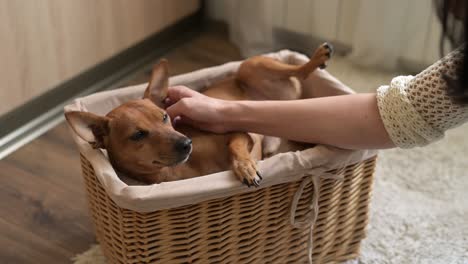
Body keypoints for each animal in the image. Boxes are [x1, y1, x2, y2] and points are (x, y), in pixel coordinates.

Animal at [65, 43, 332, 186]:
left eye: (164, 117)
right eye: (138, 135)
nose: (186, 143)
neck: (180, 170)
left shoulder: (239, 132)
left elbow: (235, 147)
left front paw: (245, 167)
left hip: (250, 66)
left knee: (300, 70)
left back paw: (317, 57)